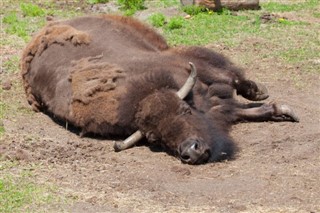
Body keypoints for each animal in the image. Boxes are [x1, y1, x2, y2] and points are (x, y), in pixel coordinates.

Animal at [21, 15, 298, 165]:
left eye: (185, 110)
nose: (190, 152)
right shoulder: (216, 108)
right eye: (155, 138)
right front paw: (281, 111)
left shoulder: (193, 70)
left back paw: (257, 89)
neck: (145, 94)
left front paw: (271, 101)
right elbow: (241, 111)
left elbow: (231, 81)